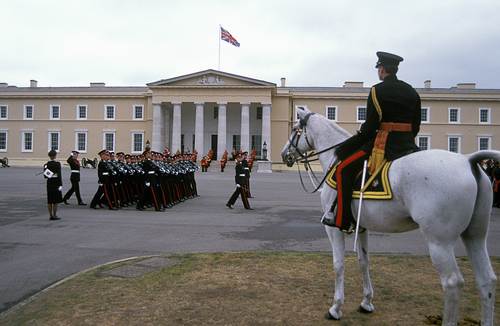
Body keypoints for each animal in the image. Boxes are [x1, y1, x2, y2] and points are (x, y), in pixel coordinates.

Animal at [282, 106, 496, 324]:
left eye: (295, 129)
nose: (284, 155)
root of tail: (467, 160)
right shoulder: (362, 227)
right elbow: (363, 262)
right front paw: (366, 302)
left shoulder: (333, 228)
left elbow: (338, 265)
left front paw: (336, 307)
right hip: (475, 236)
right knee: (486, 279)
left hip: (440, 242)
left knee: (452, 282)